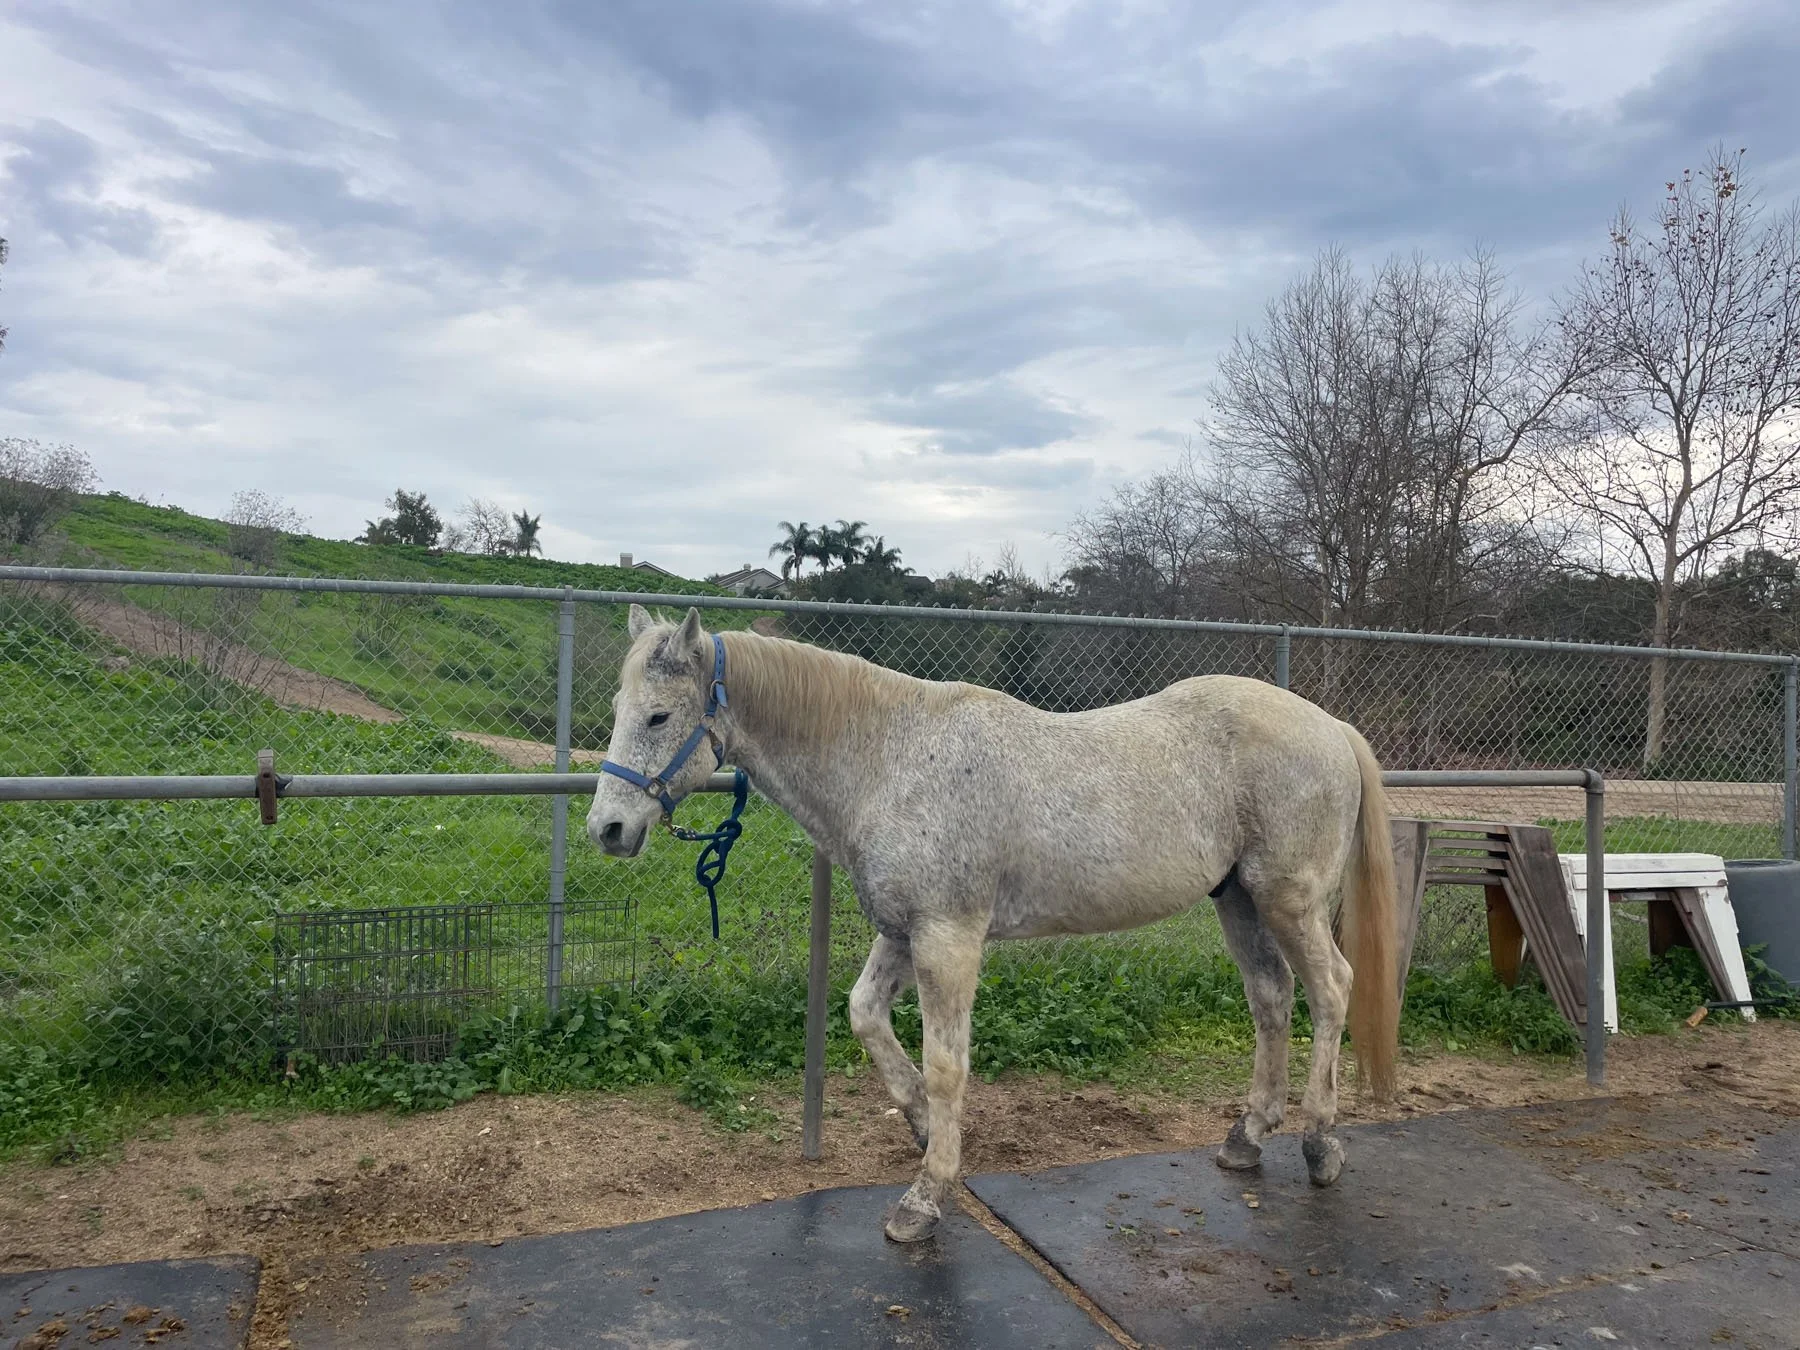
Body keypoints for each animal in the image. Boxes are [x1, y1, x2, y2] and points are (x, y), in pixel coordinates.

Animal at [587, 605, 1400, 1244]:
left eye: (659, 716)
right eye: (621, 711)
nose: (607, 830)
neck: (892, 761)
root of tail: (1332, 726)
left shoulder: (948, 939)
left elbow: (948, 1064)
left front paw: (925, 1196)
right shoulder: (903, 931)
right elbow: (864, 1017)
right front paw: (920, 1123)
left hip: (1288, 898)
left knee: (1332, 989)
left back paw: (1321, 1144)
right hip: (1237, 899)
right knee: (1271, 997)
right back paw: (1247, 1137)